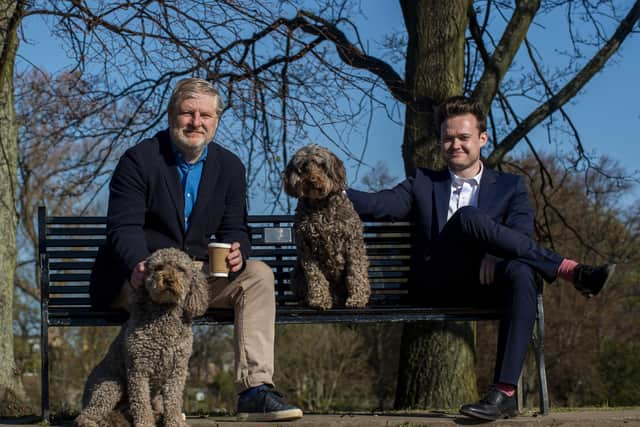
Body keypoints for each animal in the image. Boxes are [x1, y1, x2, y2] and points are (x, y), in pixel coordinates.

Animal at [75, 247, 208, 427]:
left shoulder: (178, 370)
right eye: (158, 268)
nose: (168, 280)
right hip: (110, 386)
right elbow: (141, 402)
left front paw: (174, 422)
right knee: (85, 415)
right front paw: (145, 423)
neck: (163, 315)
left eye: (181, 269)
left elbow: (173, 401)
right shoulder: (139, 370)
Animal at [284, 145, 370, 310]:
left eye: (322, 165)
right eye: (304, 166)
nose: (312, 180)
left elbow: (356, 271)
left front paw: (357, 298)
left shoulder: (352, 243)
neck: (320, 205)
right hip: (296, 273)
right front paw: (319, 300)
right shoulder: (307, 248)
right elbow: (315, 276)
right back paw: (307, 300)